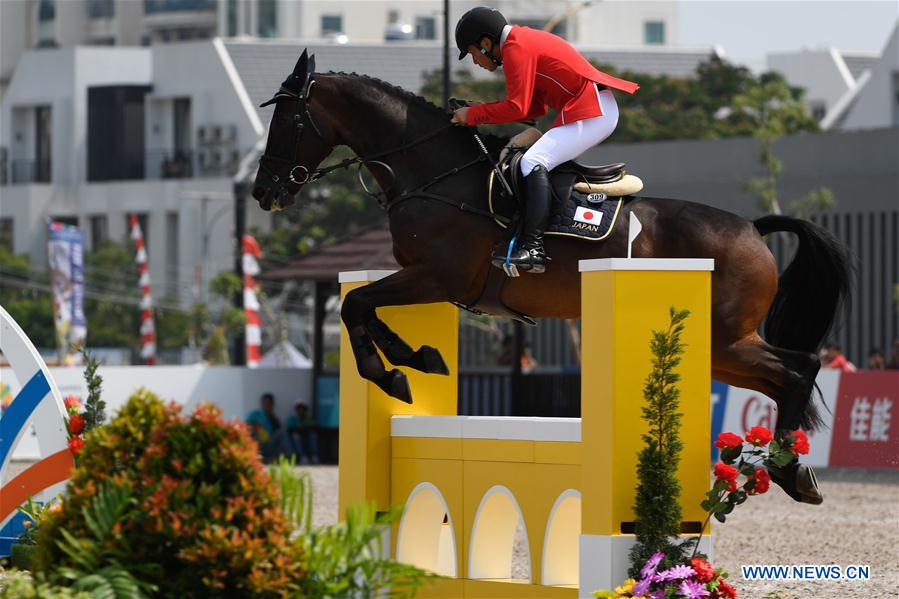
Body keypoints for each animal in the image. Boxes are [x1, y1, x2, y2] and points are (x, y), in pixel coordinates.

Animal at [251, 51, 852, 504]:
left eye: (288, 121)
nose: (263, 193)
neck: (434, 173)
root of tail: (752, 228)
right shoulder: (422, 279)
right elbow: (364, 309)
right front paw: (415, 358)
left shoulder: (437, 277)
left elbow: (355, 307)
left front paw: (395, 371)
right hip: (720, 350)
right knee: (784, 379)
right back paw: (794, 470)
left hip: (726, 338)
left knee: (800, 368)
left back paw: (791, 472)